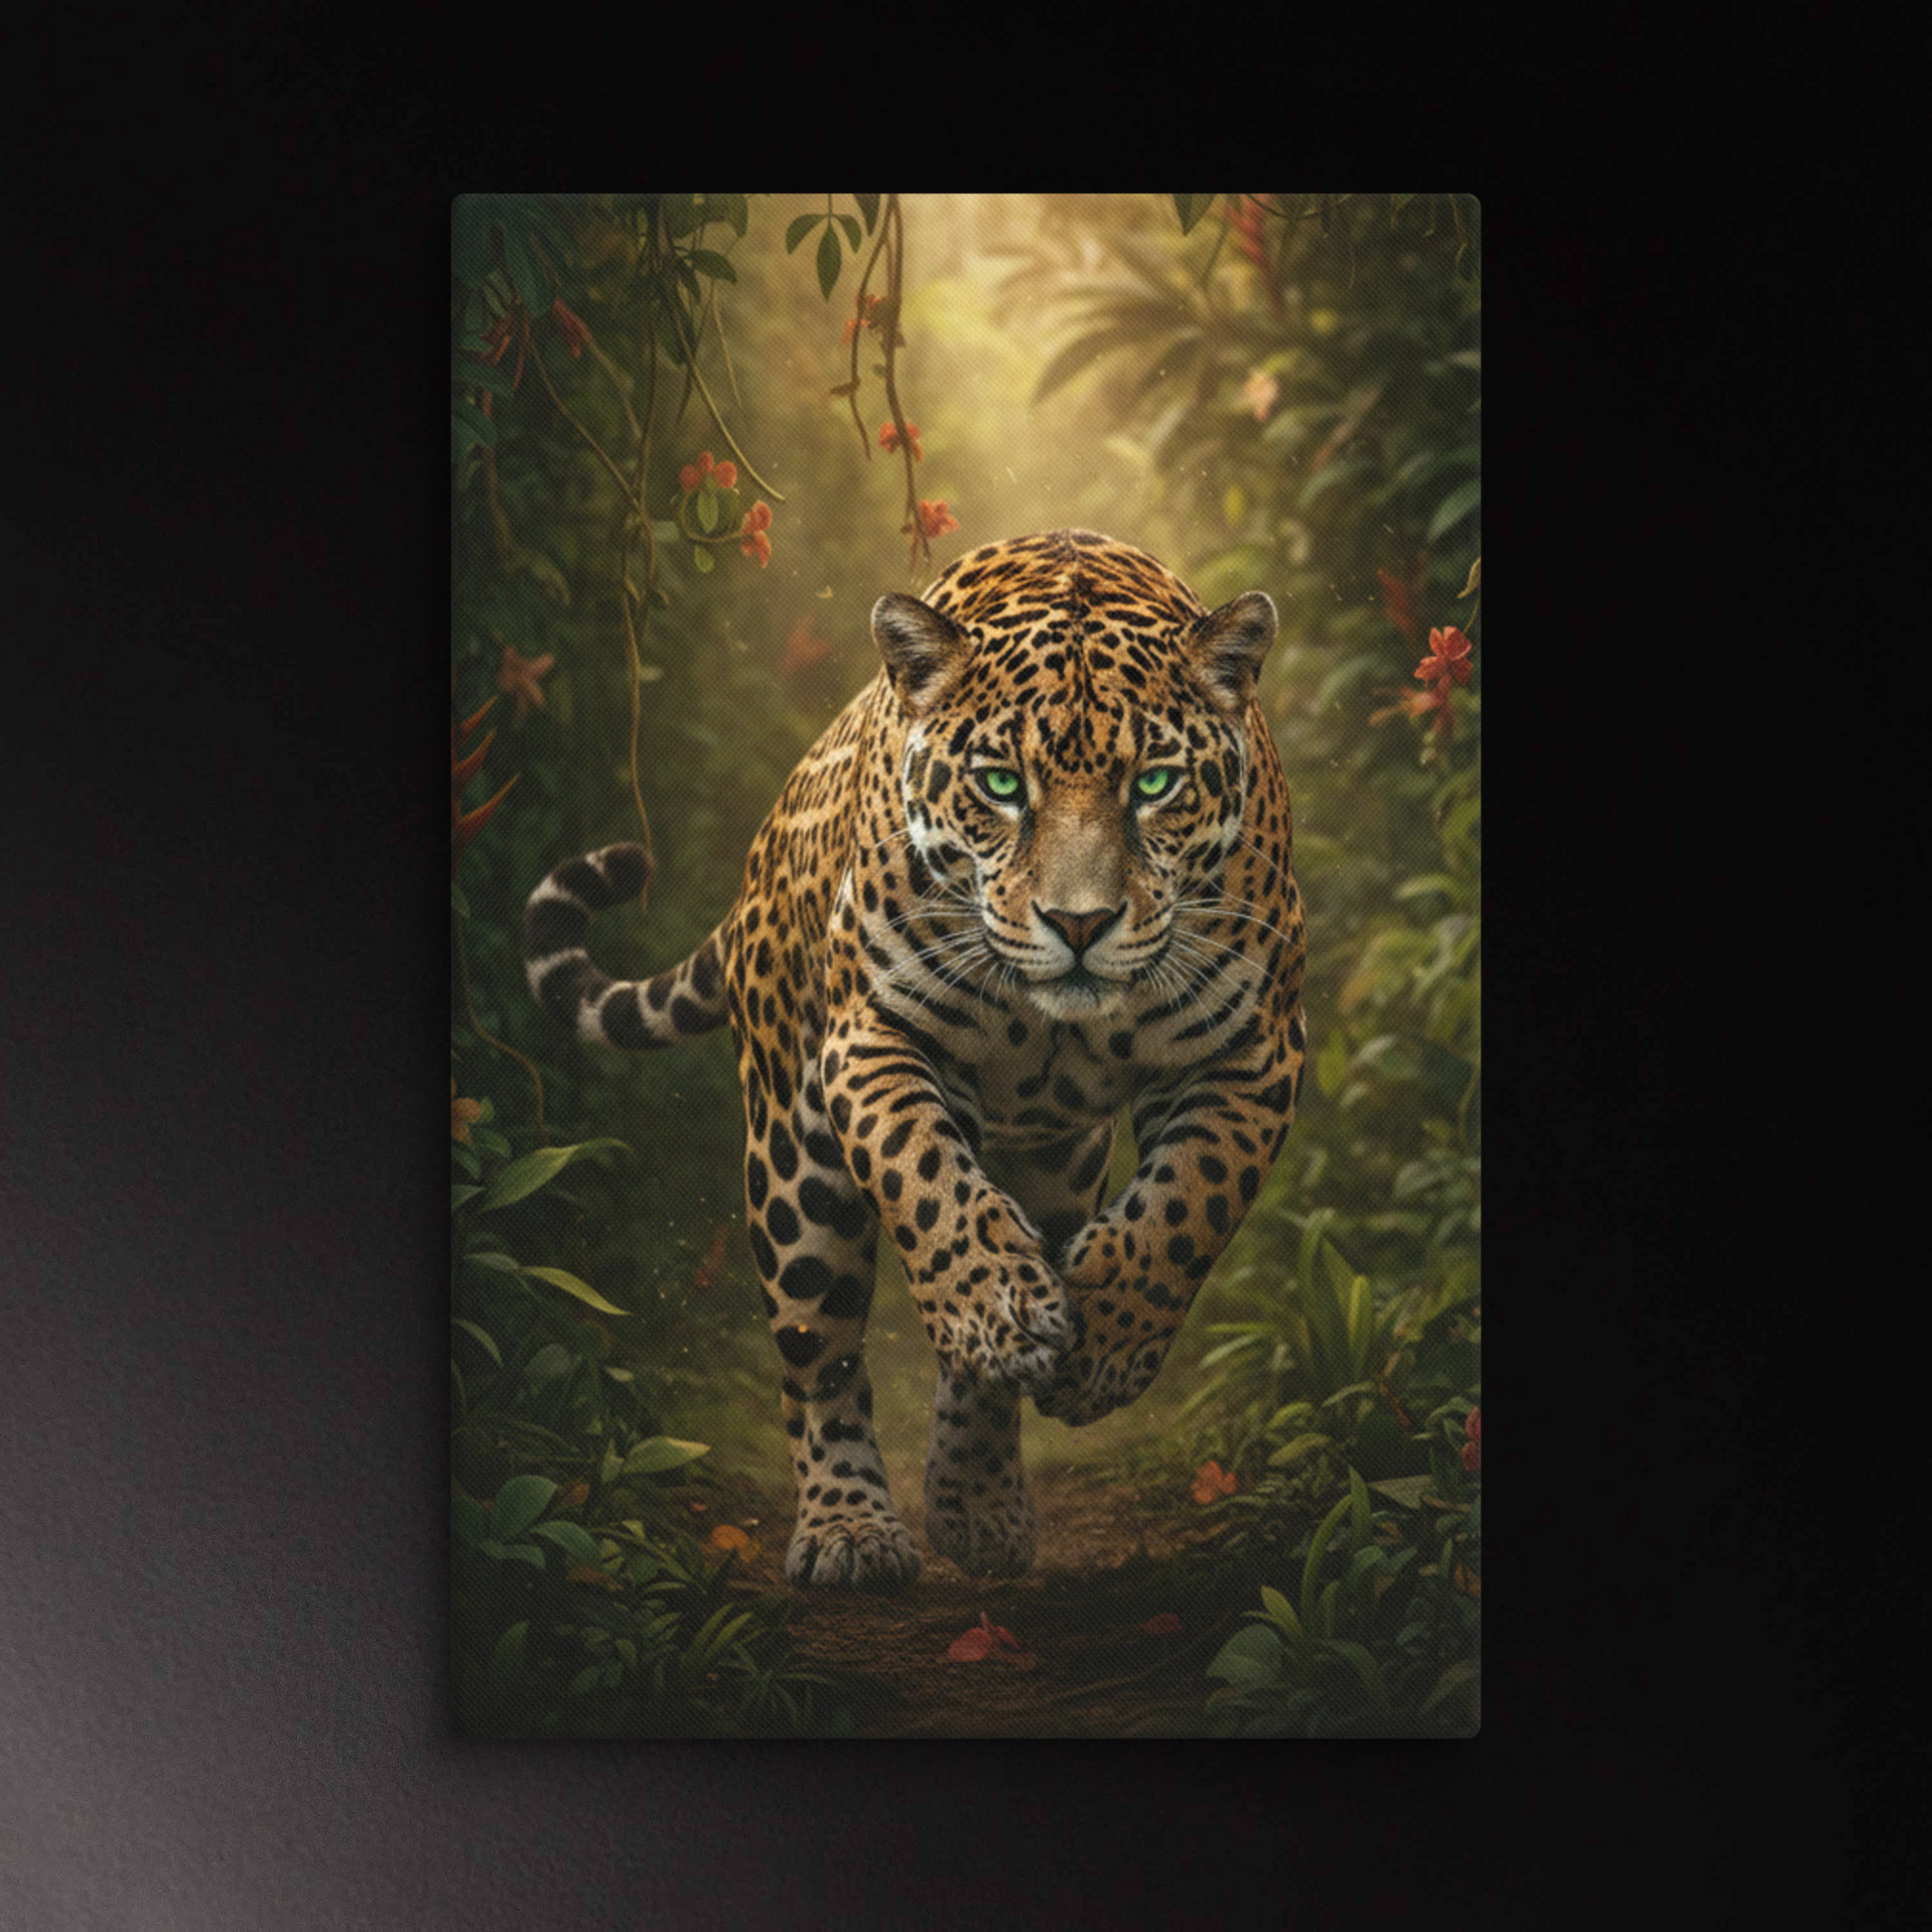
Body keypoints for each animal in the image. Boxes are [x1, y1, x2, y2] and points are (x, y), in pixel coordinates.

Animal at [524, 530, 1306, 1588]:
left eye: (1154, 785)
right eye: (1001, 784)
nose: (1080, 924)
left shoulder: (1255, 1048)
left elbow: (1188, 1203)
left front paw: (1102, 1344)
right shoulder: (876, 1037)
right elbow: (928, 1181)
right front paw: (998, 1310)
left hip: (1057, 1164)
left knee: (993, 1333)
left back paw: (980, 1504)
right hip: (794, 1159)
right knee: (818, 1354)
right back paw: (852, 1526)